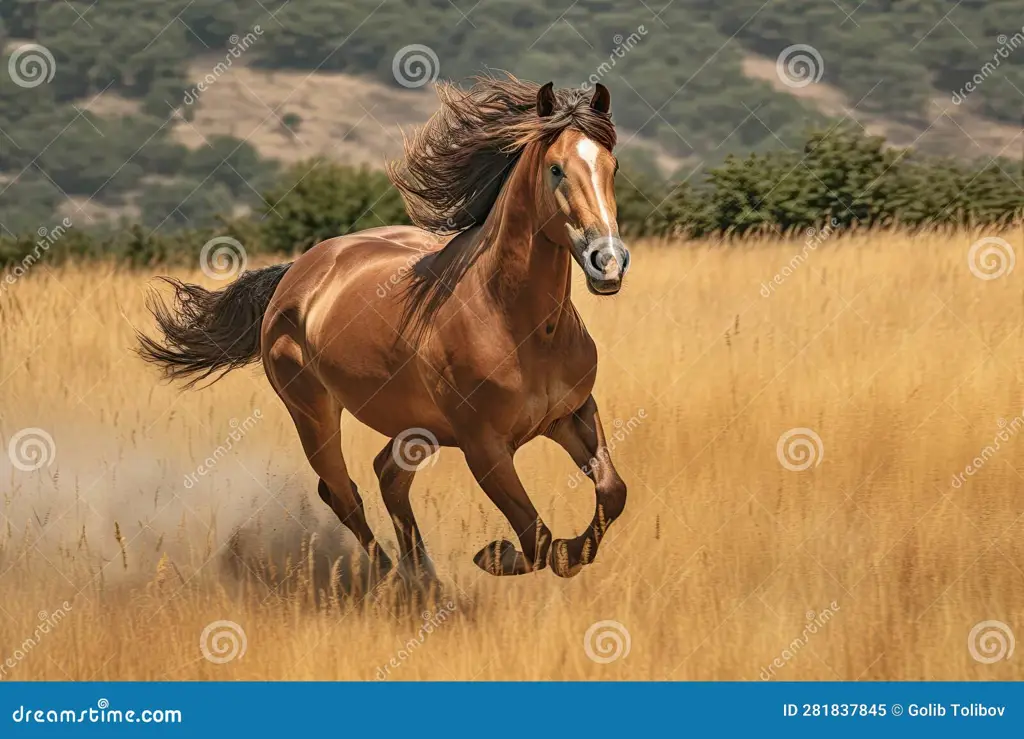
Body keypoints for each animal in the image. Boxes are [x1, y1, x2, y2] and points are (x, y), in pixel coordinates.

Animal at [136, 74, 630, 581]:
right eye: (556, 169)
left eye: (612, 165)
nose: (608, 263)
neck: (520, 324)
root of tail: (297, 273)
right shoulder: (484, 447)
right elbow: (535, 538)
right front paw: (494, 554)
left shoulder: (571, 413)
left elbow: (612, 493)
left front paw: (568, 554)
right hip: (313, 414)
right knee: (342, 491)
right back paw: (395, 577)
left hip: (417, 428)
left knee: (386, 476)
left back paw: (423, 577)